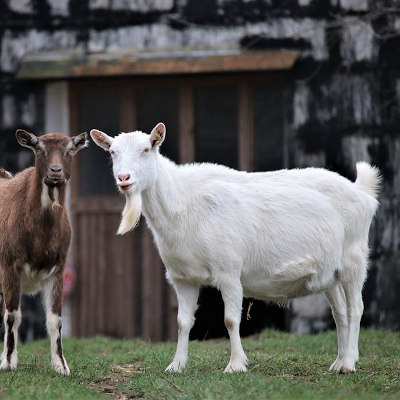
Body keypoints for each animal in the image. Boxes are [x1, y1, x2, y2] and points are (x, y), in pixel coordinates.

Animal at [0, 129, 87, 376]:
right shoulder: (9, 264)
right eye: (39, 148)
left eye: (70, 149)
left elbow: (55, 319)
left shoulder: (58, 269)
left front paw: (61, 365)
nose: (55, 171)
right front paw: (8, 362)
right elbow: (13, 315)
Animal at [90, 123, 378, 374]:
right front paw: (176, 365)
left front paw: (236, 364)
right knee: (340, 312)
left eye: (146, 149)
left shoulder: (228, 270)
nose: (124, 178)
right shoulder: (182, 278)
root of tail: (361, 193)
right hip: (330, 274)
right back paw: (339, 361)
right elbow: (183, 322)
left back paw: (349, 363)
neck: (183, 203)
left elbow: (230, 319)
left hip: (354, 259)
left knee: (356, 309)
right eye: (112, 152)